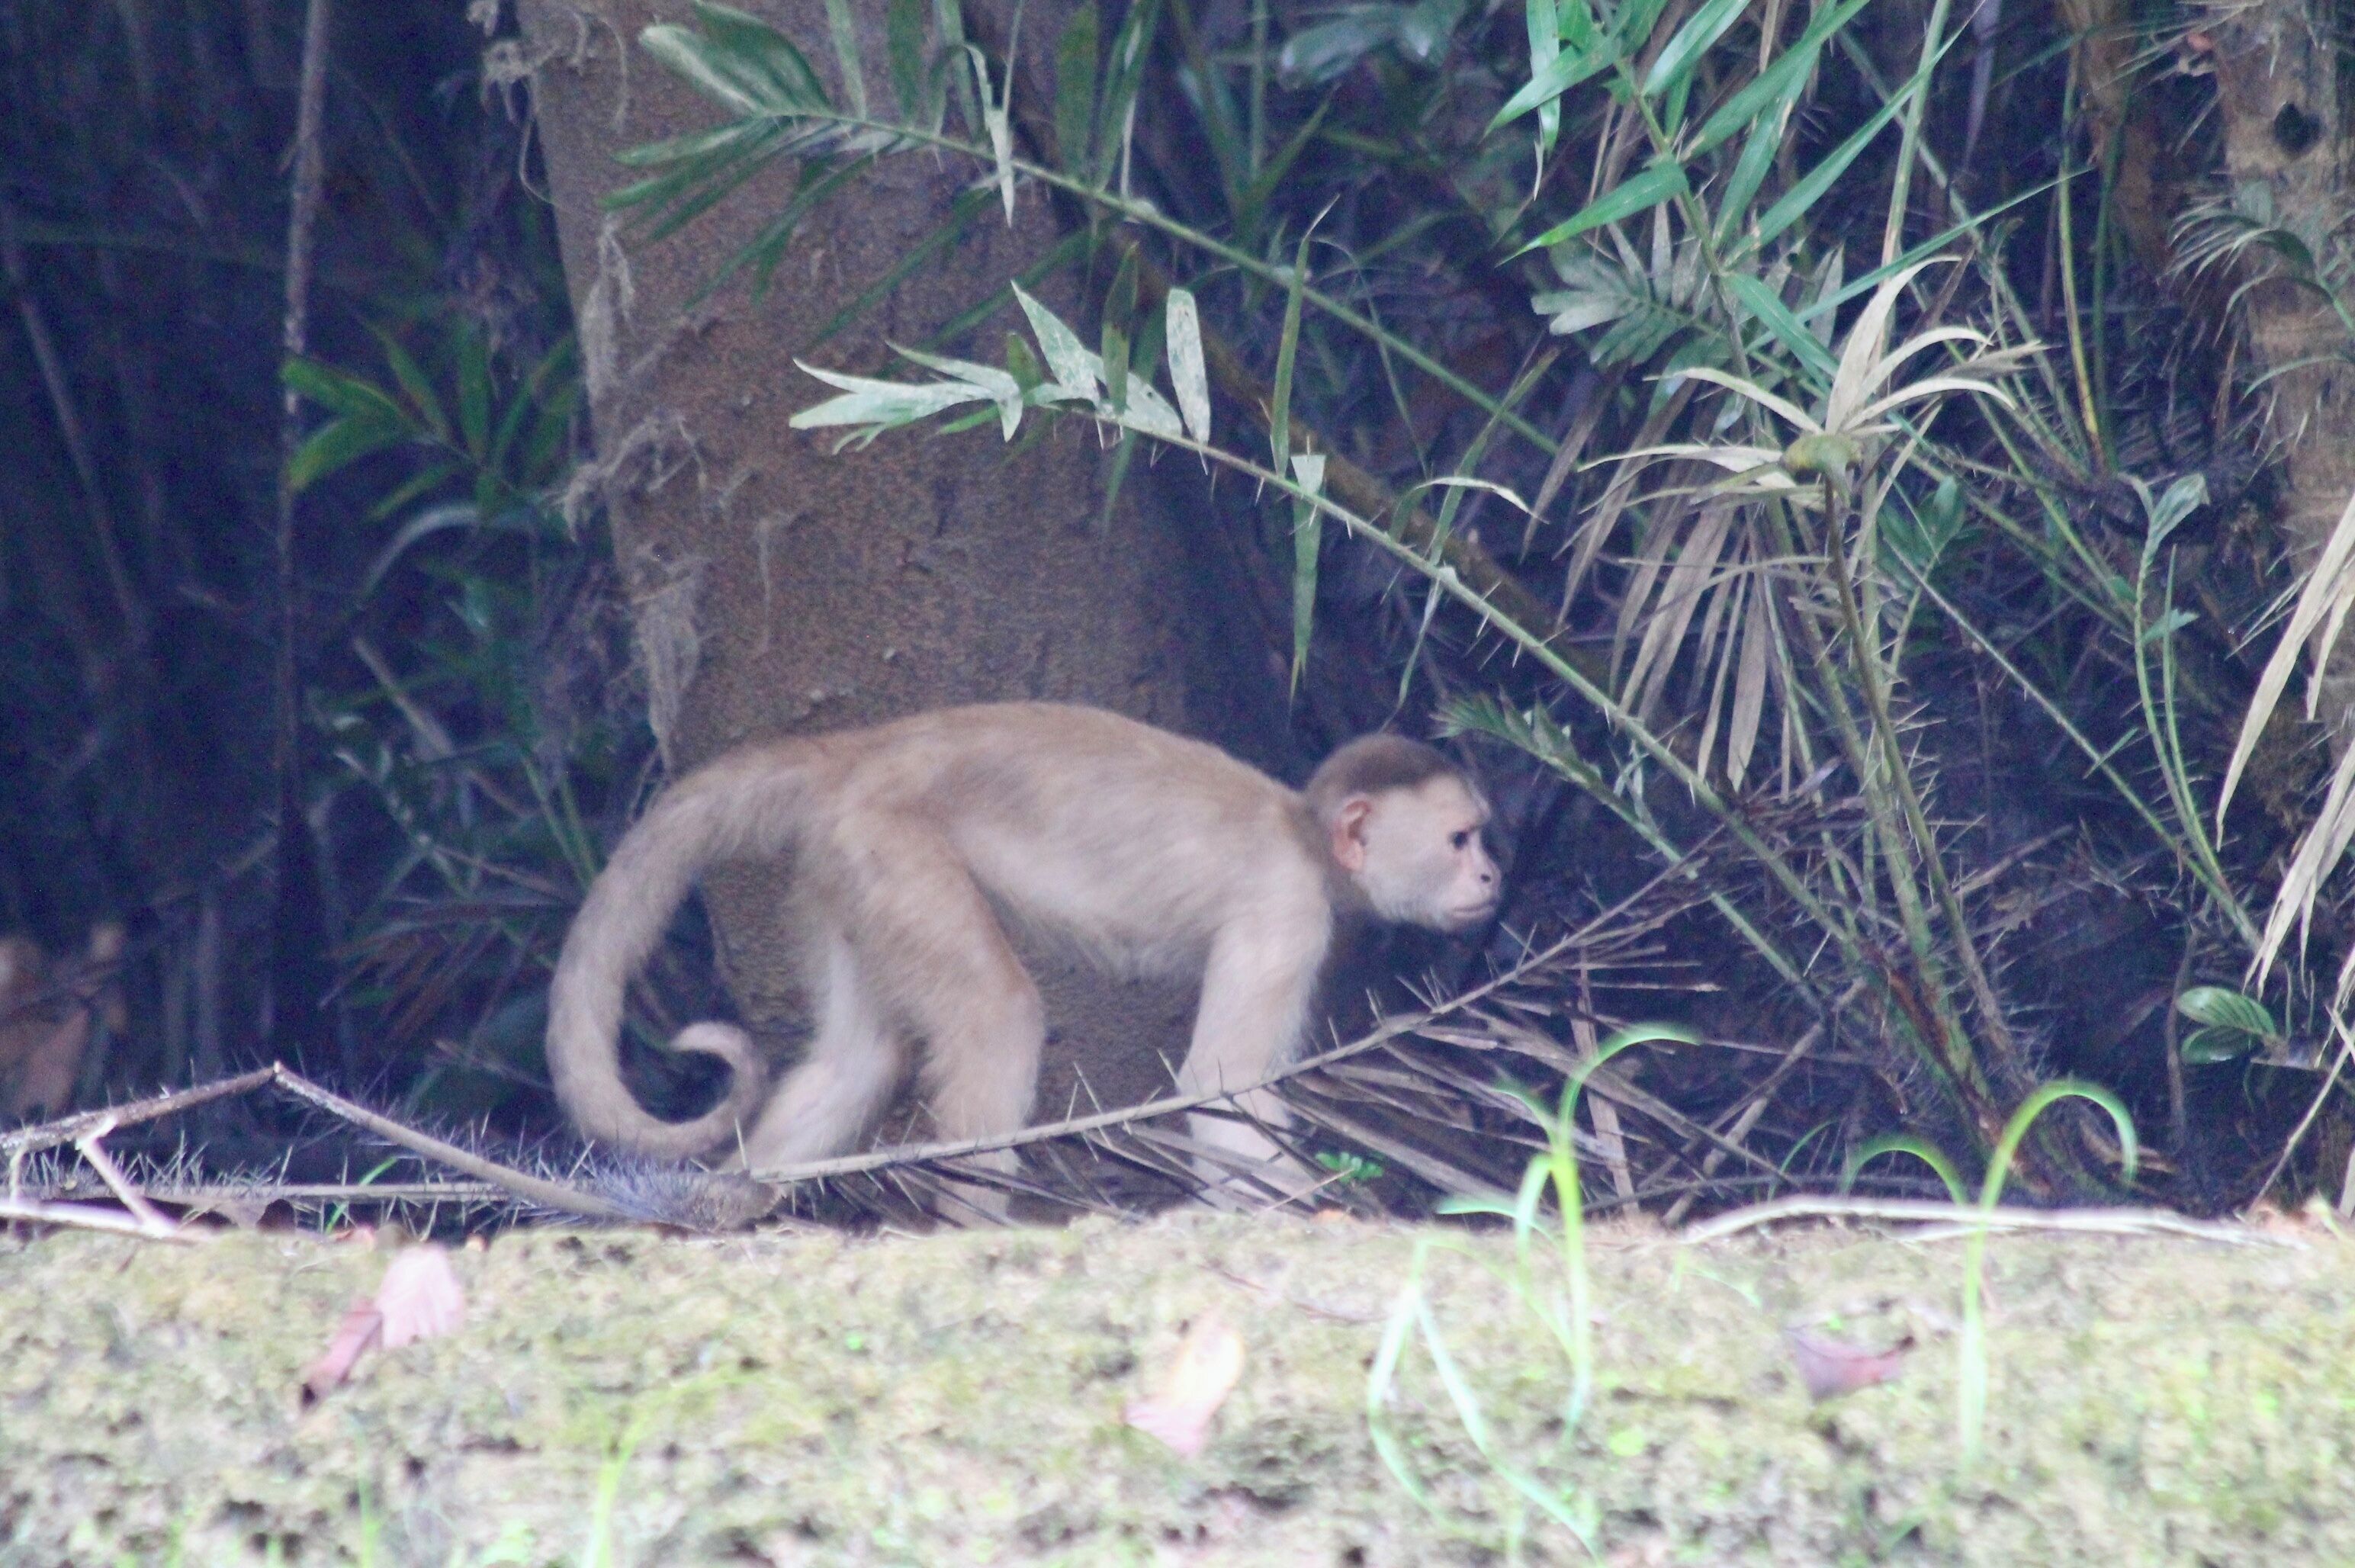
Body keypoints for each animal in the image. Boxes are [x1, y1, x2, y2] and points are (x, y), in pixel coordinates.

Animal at [544, 702, 1498, 1209]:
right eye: (1459, 840)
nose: (1491, 873)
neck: (1301, 832)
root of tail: (861, 749)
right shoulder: (1287, 910)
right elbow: (1220, 1092)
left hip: (840, 868)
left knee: (858, 1060)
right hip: (889, 844)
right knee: (995, 1017)